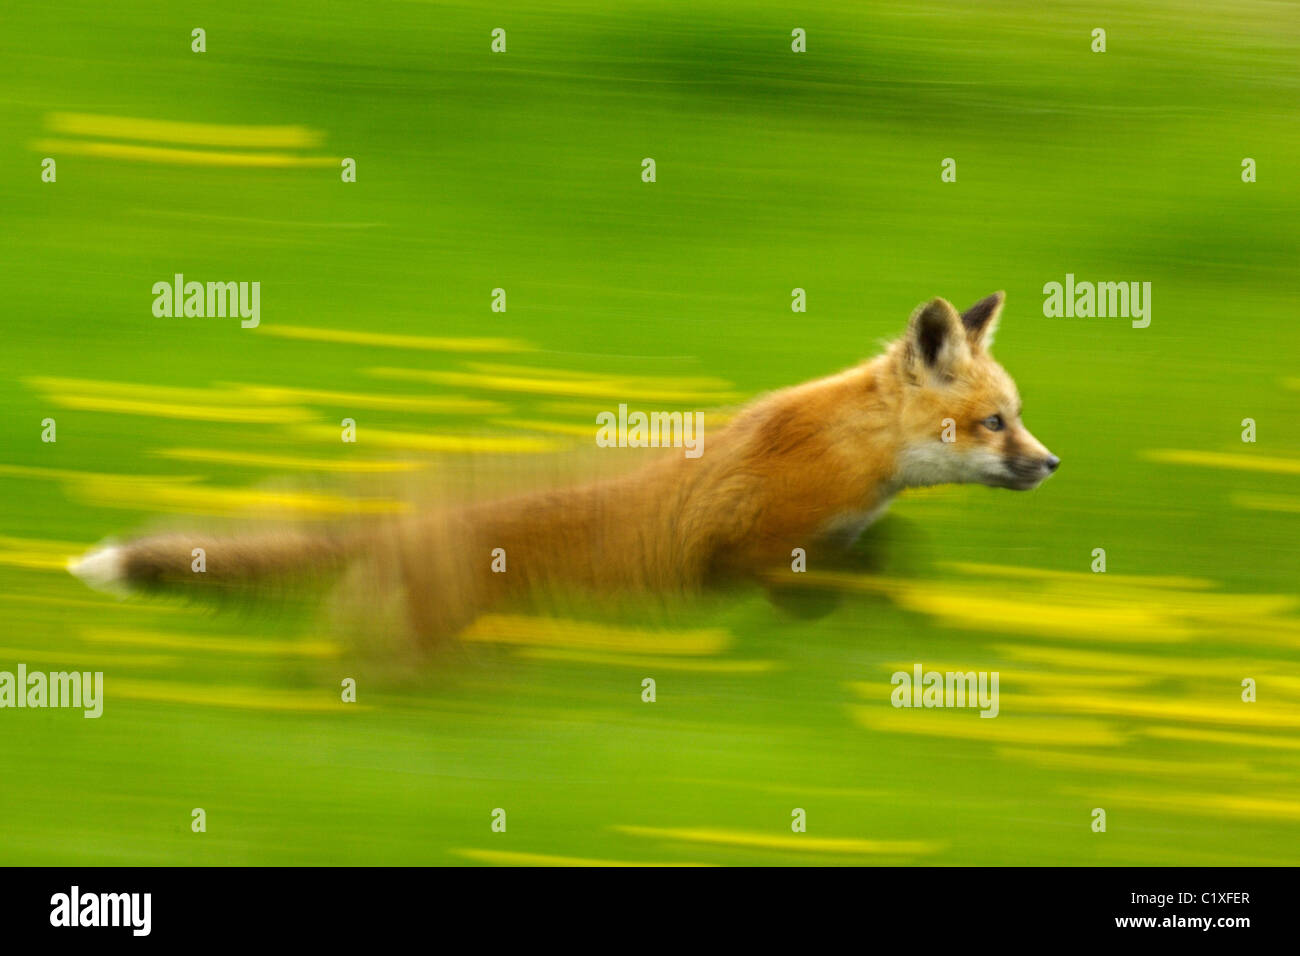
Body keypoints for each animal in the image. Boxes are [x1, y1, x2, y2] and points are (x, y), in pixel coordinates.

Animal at [68, 291, 1058, 644]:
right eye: (995, 422)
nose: (1050, 462)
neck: (850, 455)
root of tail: (411, 512)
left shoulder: (830, 546)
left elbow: (885, 573)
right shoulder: (761, 553)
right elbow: (830, 593)